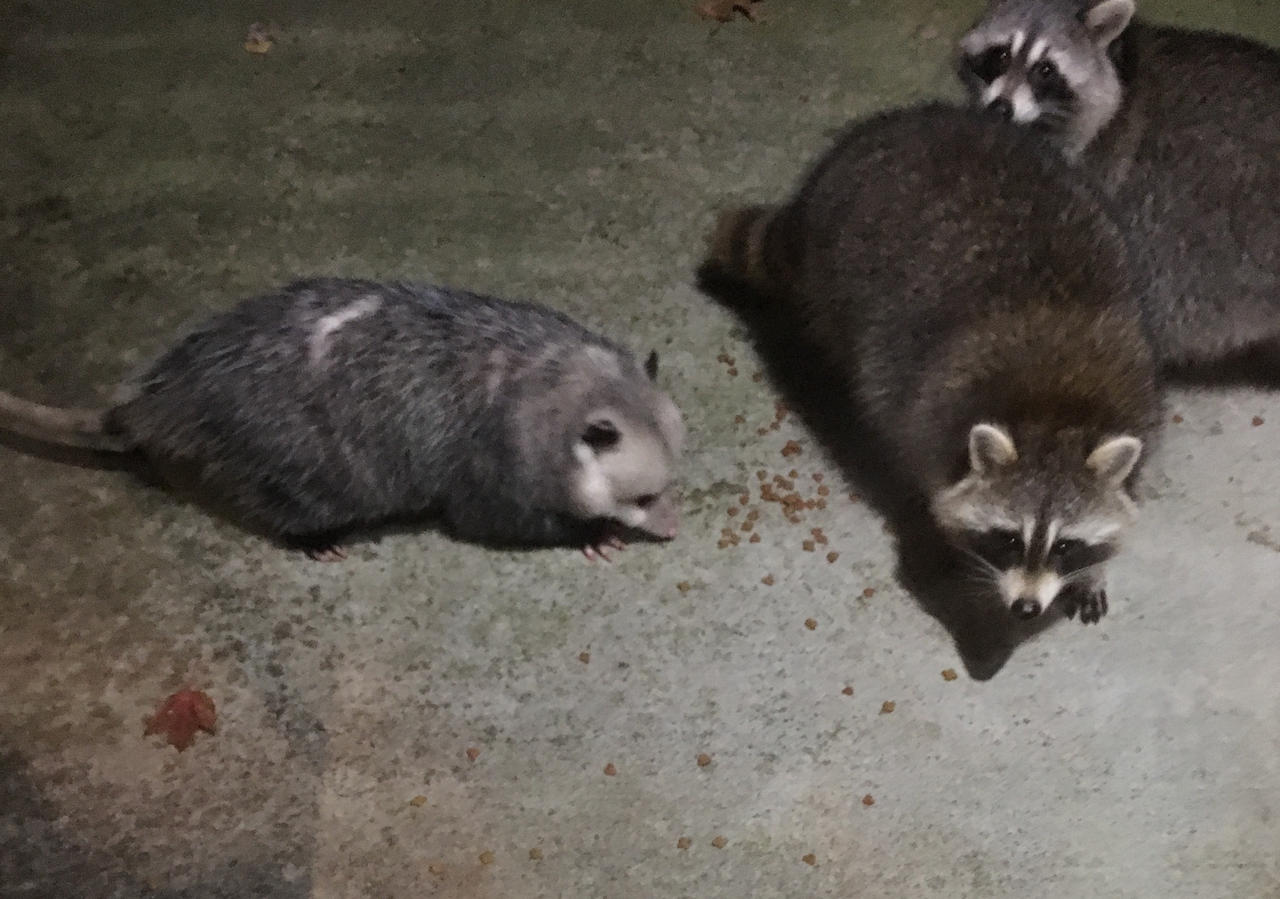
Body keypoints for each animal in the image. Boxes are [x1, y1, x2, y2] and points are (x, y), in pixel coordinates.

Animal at [0, 279, 684, 560]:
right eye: (642, 497)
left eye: (669, 485)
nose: (674, 529)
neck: (548, 382)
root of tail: (169, 397)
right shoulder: (491, 464)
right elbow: (495, 521)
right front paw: (593, 534)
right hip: (297, 464)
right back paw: (316, 542)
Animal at [706, 104, 1162, 622]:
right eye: (1008, 539)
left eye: (1066, 545)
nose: (1026, 609)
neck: (1053, 411)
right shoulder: (924, 413)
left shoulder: (1140, 398)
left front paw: (1091, 571)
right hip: (837, 273)